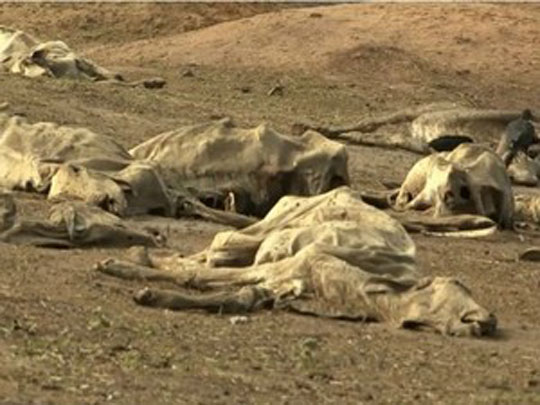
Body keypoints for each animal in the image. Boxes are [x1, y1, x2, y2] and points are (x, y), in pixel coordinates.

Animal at [98, 187, 498, 338]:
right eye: (459, 287)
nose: (487, 321)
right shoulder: (291, 265)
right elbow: (196, 272)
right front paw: (129, 262)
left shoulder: (277, 284)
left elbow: (231, 292)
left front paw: (149, 288)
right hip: (285, 219)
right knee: (222, 243)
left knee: (217, 251)